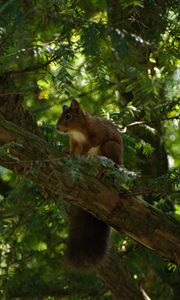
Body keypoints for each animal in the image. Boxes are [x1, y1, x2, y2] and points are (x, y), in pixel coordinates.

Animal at [57, 99, 123, 270]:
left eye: (68, 116)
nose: (57, 127)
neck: (77, 131)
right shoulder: (74, 142)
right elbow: (74, 151)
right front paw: (68, 153)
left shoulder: (99, 132)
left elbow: (94, 141)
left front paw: (84, 150)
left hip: (110, 148)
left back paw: (101, 173)